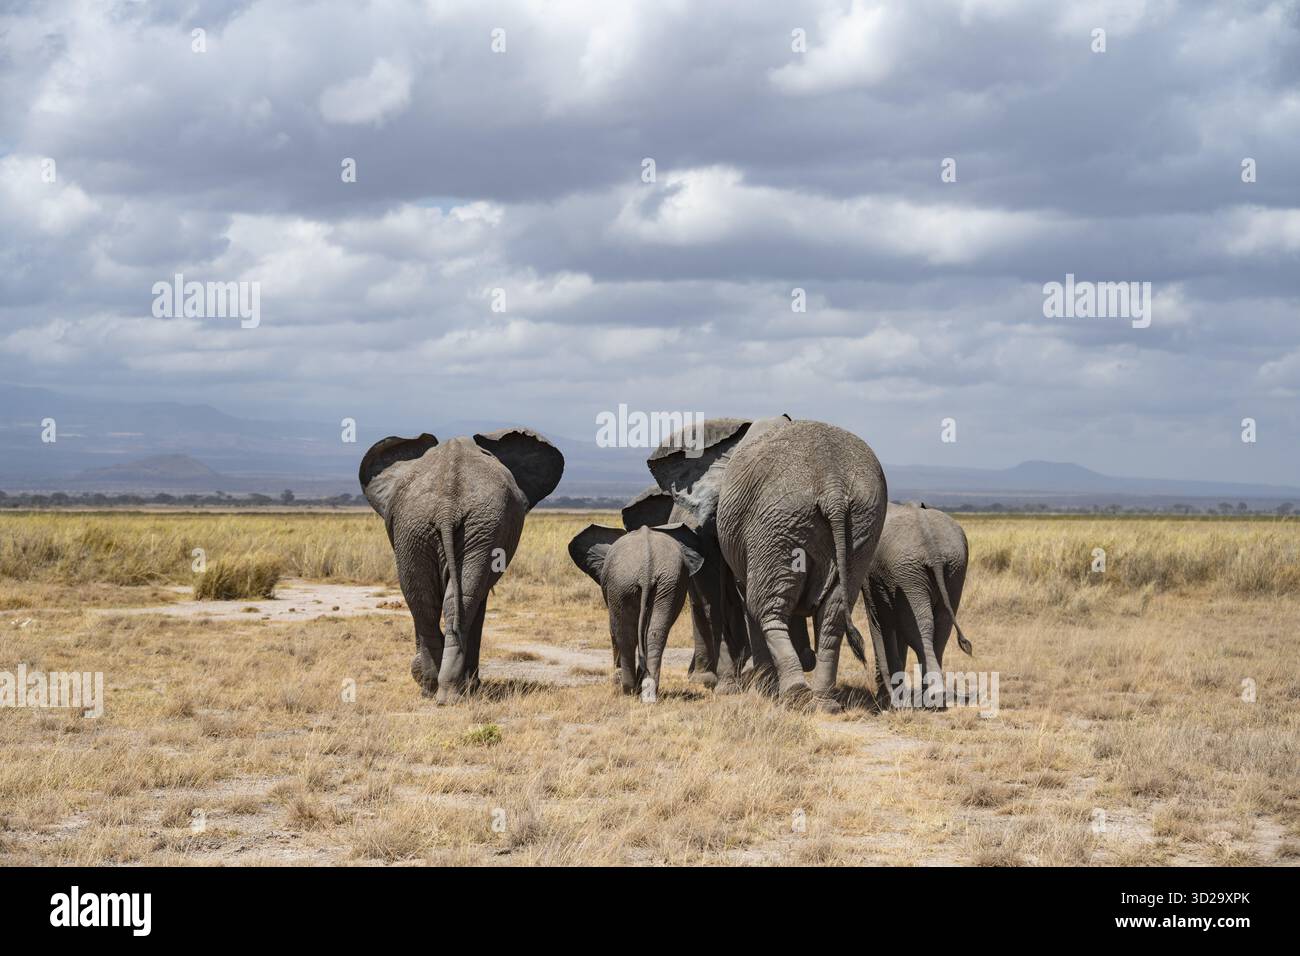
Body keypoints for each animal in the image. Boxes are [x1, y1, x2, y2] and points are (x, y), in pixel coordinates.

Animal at [358, 428, 564, 704]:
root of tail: (448, 506)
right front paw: (471, 684)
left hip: (452, 528)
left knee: (435, 602)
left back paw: (440, 691)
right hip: (429, 526)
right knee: (443, 602)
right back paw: (443, 690)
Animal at [568, 522, 704, 702]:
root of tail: (647, 569)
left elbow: (614, 630)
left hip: (623, 583)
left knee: (625, 634)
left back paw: (628, 690)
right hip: (668, 583)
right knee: (656, 633)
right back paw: (648, 689)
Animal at [648, 416, 888, 712]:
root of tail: (833, 485)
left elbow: (738, 597)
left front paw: (752, 688)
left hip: (778, 524)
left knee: (764, 606)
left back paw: (793, 694)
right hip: (861, 527)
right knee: (832, 614)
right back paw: (824, 703)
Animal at [862, 502, 973, 707]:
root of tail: (933, 550)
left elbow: (879, 620)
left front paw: (887, 698)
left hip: (910, 572)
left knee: (919, 627)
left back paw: (932, 696)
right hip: (951, 568)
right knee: (941, 626)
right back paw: (932, 697)